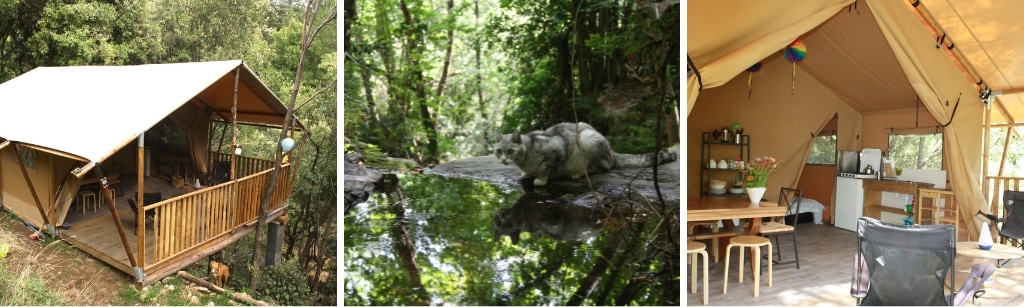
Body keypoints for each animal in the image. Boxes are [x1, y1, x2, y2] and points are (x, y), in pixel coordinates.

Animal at [491, 121, 675, 184]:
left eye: (510, 151)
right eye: (499, 151)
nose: (503, 160)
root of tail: (612, 151)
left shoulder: (556, 150)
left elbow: (547, 169)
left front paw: (540, 180)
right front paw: (527, 174)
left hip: (588, 140)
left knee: (604, 166)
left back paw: (578, 174)